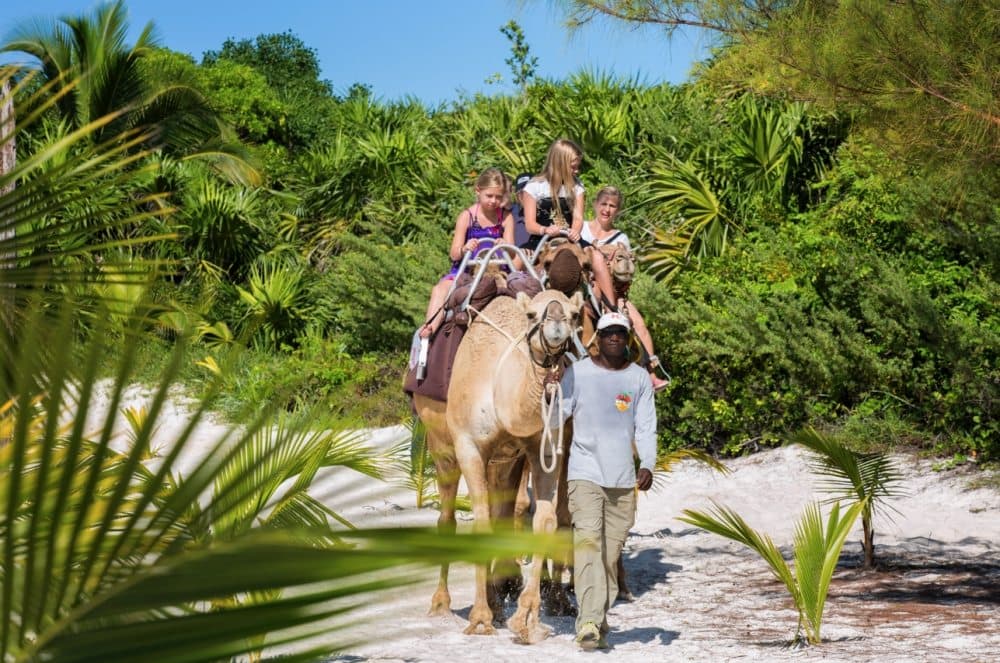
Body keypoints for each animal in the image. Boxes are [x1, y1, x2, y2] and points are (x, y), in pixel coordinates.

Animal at [412, 287, 584, 643]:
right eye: (531, 315)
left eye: (575, 314)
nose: (556, 325)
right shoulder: (469, 446)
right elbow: (480, 524)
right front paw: (480, 619)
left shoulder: (541, 447)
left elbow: (544, 520)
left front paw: (526, 619)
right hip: (440, 446)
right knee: (448, 518)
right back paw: (442, 603)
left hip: (505, 461)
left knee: (506, 513)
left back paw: (499, 599)